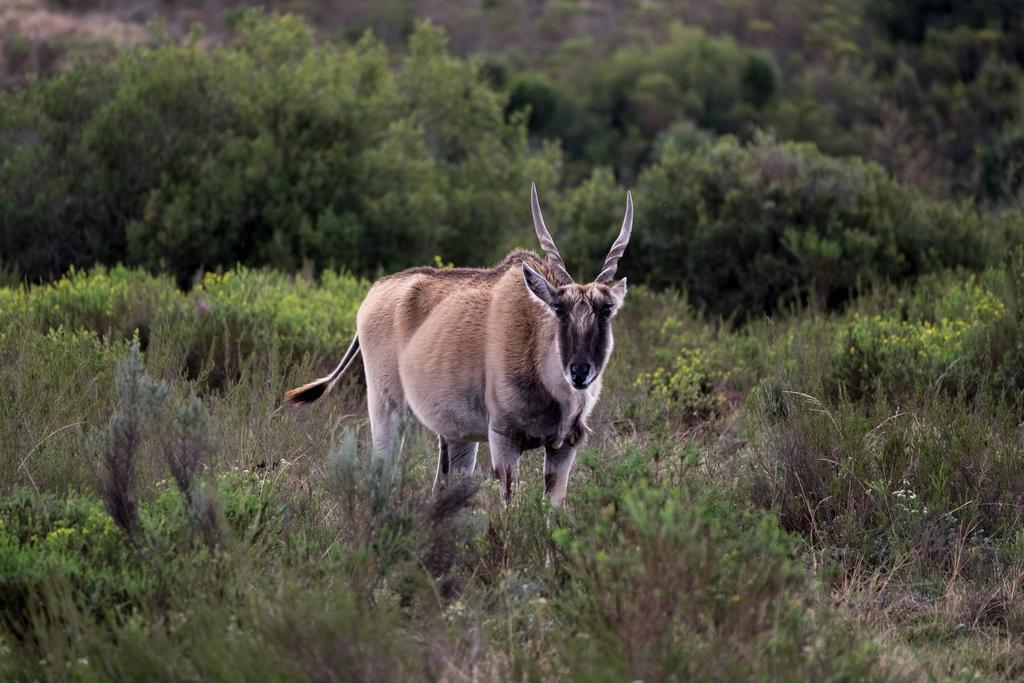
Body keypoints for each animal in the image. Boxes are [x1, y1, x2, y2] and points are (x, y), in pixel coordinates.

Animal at [282, 184, 630, 505]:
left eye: (607, 309)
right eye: (558, 308)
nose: (580, 372)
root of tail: (373, 293)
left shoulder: (564, 447)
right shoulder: (504, 440)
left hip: (458, 437)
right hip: (386, 409)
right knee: (382, 473)